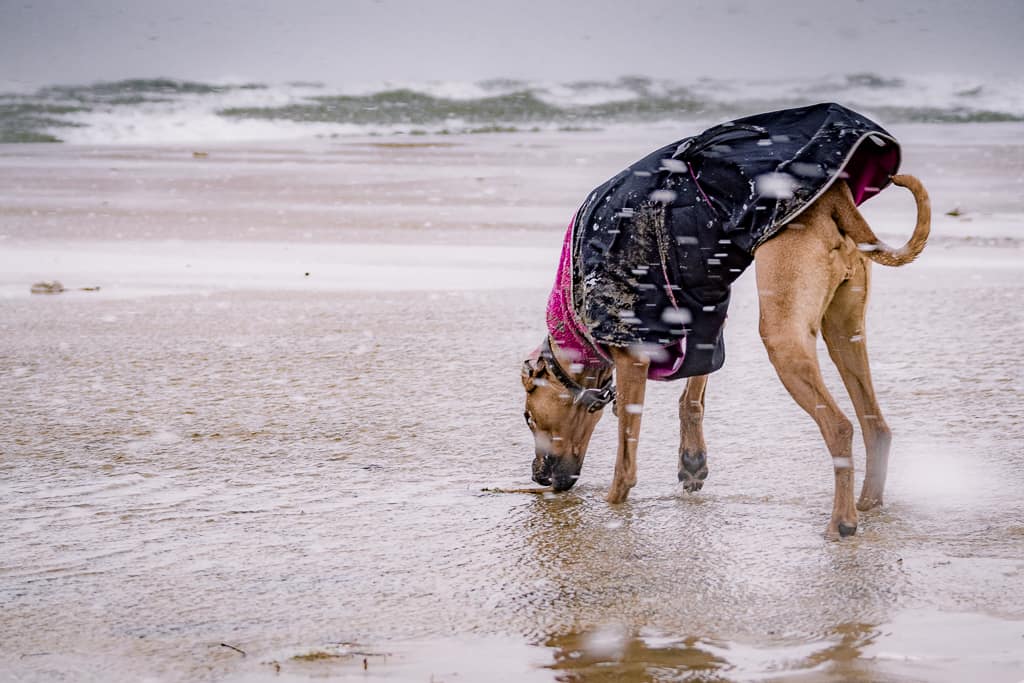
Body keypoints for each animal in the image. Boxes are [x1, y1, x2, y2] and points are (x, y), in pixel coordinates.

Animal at [524, 172, 933, 540]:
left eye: (528, 418)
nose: (537, 476)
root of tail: (835, 200)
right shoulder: (704, 311)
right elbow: (692, 394)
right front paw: (692, 461)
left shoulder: (633, 358)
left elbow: (625, 463)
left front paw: (612, 504)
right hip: (845, 332)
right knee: (876, 425)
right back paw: (868, 504)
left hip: (783, 337)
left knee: (840, 426)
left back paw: (843, 522)